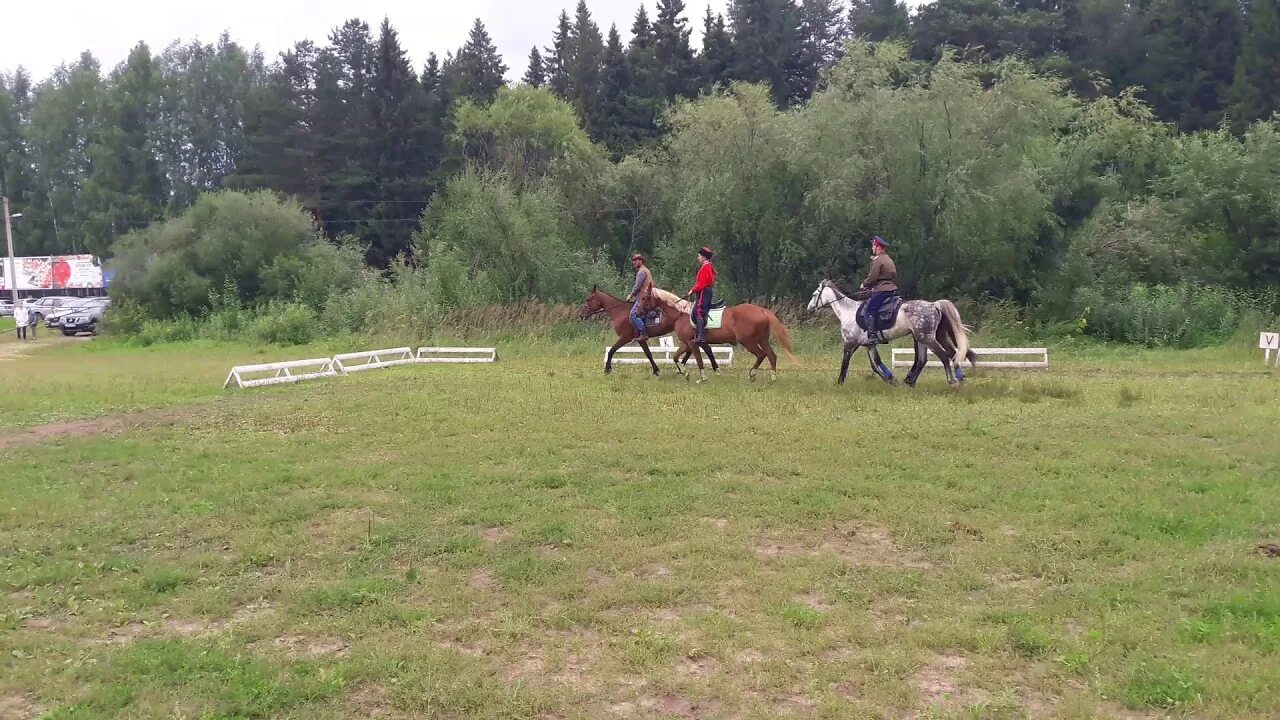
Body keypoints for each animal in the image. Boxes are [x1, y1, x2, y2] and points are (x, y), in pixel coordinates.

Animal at [655, 288, 793, 384]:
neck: (681, 314)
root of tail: (762, 310)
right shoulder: (686, 343)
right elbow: (675, 357)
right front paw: (685, 373)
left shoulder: (692, 343)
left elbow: (699, 359)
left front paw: (702, 378)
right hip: (762, 340)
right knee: (771, 355)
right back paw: (773, 378)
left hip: (748, 341)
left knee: (761, 354)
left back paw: (753, 374)